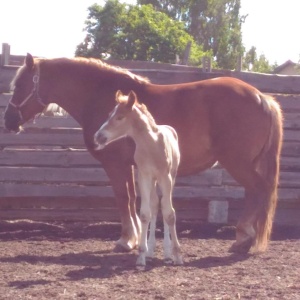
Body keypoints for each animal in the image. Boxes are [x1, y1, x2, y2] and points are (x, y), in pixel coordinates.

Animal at [3, 53, 282, 253]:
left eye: (20, 85)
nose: (8, 121)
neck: (99, 97)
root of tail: (262, 97)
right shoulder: (130, 166)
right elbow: (132, 199)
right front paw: (136, 239)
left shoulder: (115, 164)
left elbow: (122, 198)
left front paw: (126, 240)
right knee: (255, 192)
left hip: (238, 163)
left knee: (260, 190)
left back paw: (243, 238)